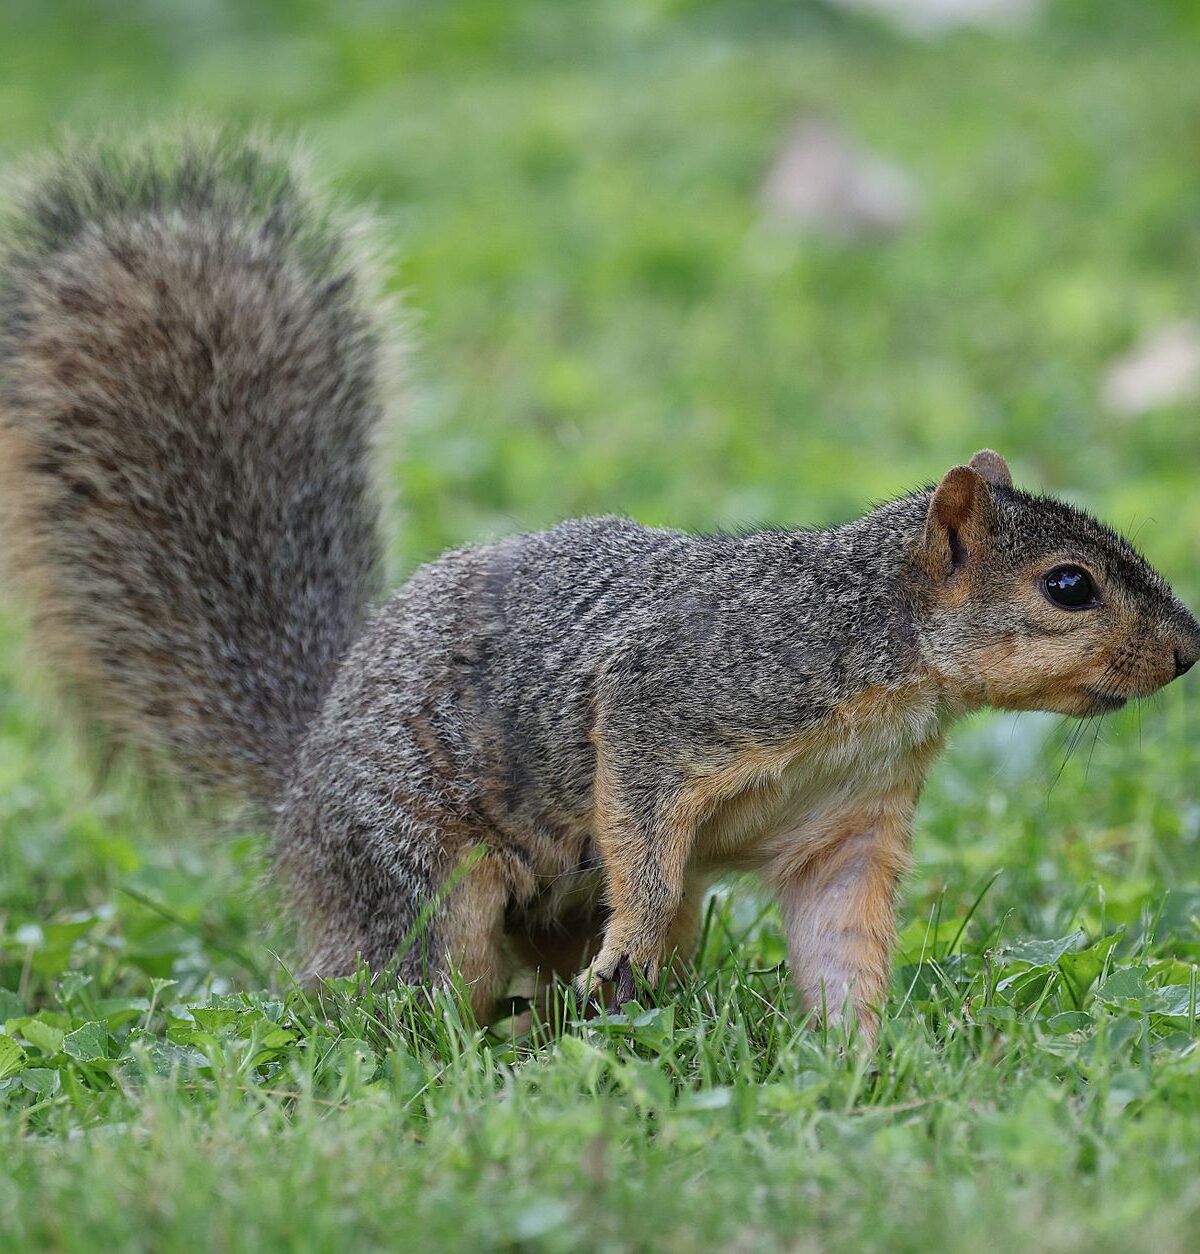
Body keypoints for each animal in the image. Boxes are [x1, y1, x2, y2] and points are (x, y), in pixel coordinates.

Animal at [2, 134, 1198, 1046]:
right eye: (1070, 585)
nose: (1190, 649)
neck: (884, 650)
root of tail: (300, 786)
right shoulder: (686, 688)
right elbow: (642, 808)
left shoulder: (848, 825)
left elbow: (839, 939)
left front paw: (861, 1059)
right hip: (420, 869)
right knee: (409, 983)